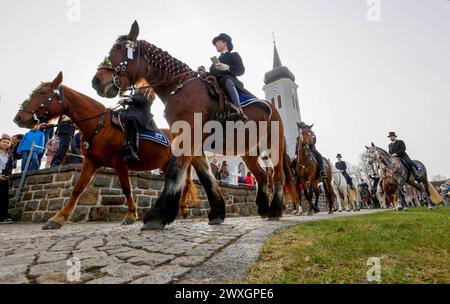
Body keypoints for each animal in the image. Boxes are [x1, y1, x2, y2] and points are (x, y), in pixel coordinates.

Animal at [13, 72, 195, 229]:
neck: (99, 125)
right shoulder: (91, 162)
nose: (19, 118)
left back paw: (182, 209)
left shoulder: (120, 162)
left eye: (43, 93)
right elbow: (77, 189)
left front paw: (130, 215)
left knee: (184, 184)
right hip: (166, 164)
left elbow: (126, 188)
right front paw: (58, 218)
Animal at [92, 20, 296, 230]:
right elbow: (205, 176)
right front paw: (217, 212)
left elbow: (175, 170)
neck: (179, 87)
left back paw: (275, 210)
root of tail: (274, 108)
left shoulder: (188, 134)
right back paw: (263, 208)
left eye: (118, 48)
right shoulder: (194, 140)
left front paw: (159, 214)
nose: (96, 81)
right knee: (262, 175)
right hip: (249, 151)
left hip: (273, 146)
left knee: (277, 176)